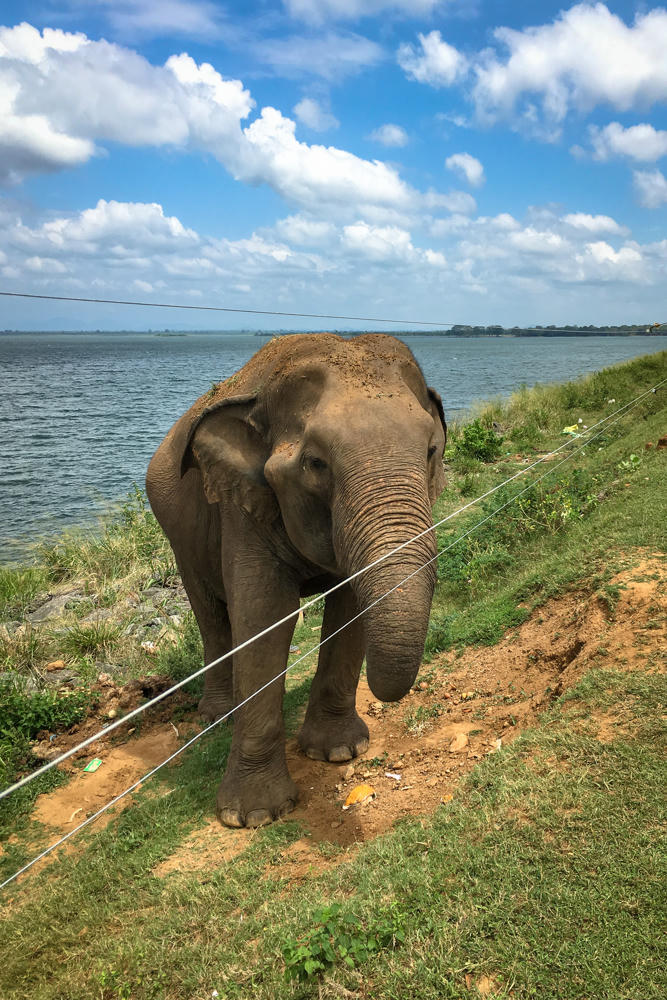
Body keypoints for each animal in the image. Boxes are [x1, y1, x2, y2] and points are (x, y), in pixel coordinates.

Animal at [146, 333, 446, 828]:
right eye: (316, 463)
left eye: (429, 452)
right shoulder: (241, 505)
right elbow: (266, 616)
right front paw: (251, 816)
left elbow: (349, 603)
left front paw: (340, 751)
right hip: (178, 537)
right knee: (211, 615)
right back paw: (217, 717)